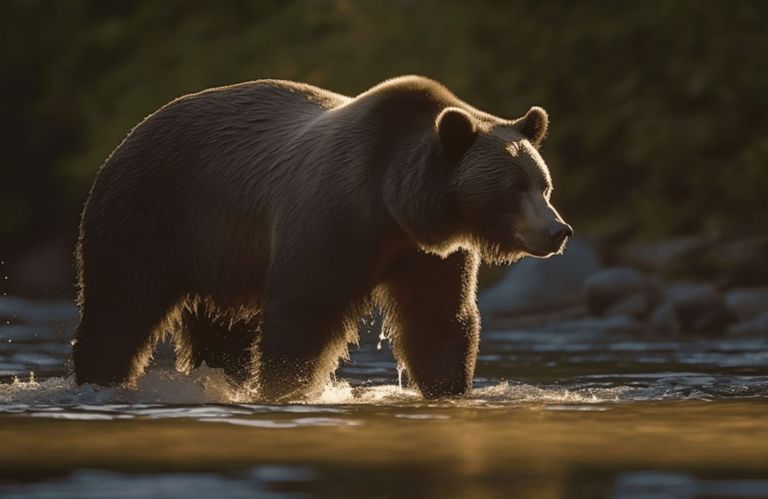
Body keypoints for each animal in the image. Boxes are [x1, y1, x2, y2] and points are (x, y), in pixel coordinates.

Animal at [72, 75, 572, 401]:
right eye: (514, 187)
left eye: (543, 185)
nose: (558, 231)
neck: (394, 204)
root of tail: (133, 131)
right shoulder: (333, 216)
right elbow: (306, 310)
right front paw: (286, 388)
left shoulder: (430, 253)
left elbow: (438, 319)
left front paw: (448, 388)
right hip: (152, 211)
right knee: (119, 303)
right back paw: (100, 378)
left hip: (220, 252)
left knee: (220, 327)